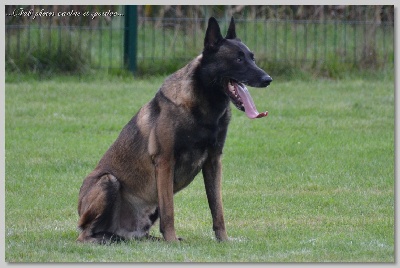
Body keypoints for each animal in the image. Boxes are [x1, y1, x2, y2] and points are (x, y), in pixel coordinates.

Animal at [76, 16, 272, 243]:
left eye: (252, 58)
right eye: (238, 60)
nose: (268, 79)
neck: (205, 109)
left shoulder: (214, 161)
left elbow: (218, 208)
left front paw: (223, 240)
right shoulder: (165, 163)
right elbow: (169, 210)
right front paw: (171, 240)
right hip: (108, 180)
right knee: (85, 234)